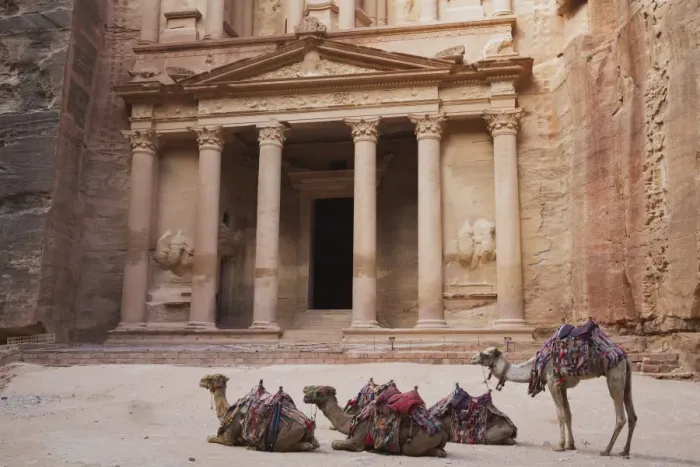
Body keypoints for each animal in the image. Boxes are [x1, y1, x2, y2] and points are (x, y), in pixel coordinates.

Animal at [303, 382, 448, 457]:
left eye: (318, 392)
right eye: (314, 386)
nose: (305, 394)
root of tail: (443, 433)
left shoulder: (358, 438)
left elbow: (335, 444)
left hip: (423, 438)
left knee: (408, 449)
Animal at [471, 322, 637, 458]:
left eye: (485, 354)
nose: (473, 358)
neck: (536, 365)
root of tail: (625, 357)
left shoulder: (552, 382)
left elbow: (560, 415)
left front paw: (560, 446)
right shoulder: (562, 386)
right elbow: (568, 414)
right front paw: (570, 445)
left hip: (614, 375)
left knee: (620, 417)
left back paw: (607, 450)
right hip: (626, 379)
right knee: (632, 415)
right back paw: (625, 451)